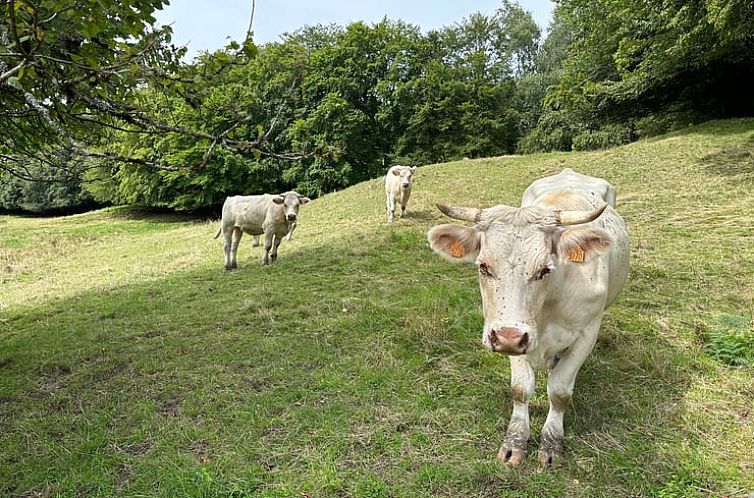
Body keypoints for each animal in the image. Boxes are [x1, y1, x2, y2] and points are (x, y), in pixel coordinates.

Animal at [424, 170, 628, 466]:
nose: (508, 337)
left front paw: (552, 443)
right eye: (483, 266)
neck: (545, 309)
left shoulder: (586, 332)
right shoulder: (511, 334)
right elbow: (520, 389)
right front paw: (515, 441)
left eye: (544, 269)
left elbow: (559, 392)